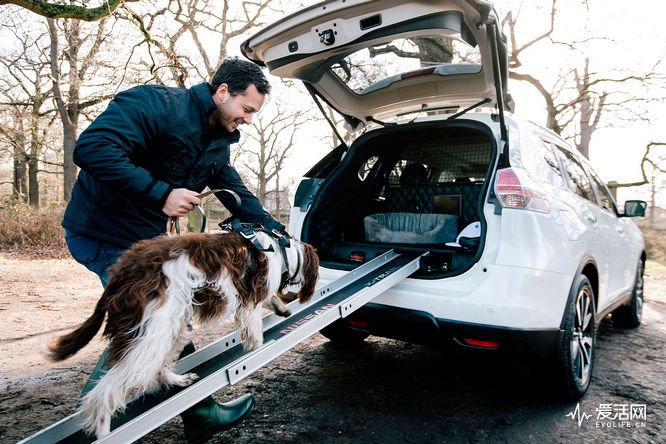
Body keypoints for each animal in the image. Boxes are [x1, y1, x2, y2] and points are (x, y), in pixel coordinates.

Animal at [44, 231, 320, 438]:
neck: (282, 250)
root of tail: (122, 271)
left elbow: (268, 302)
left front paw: (282, 308)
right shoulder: (250, 301)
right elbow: (254, 331)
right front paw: (258, 347)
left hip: (170, 324)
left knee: (155, 368)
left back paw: (178, 380)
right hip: (152, 329)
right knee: (106, 389)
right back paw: (103, 430)